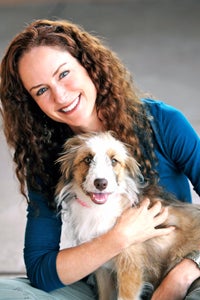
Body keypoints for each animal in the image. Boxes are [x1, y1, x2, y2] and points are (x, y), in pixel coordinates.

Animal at [55, 131, 200, 300]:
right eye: (87, 159)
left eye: (114, 161)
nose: (101, 183)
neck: (101, 209)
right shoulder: (102, 268)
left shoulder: (131, 266)